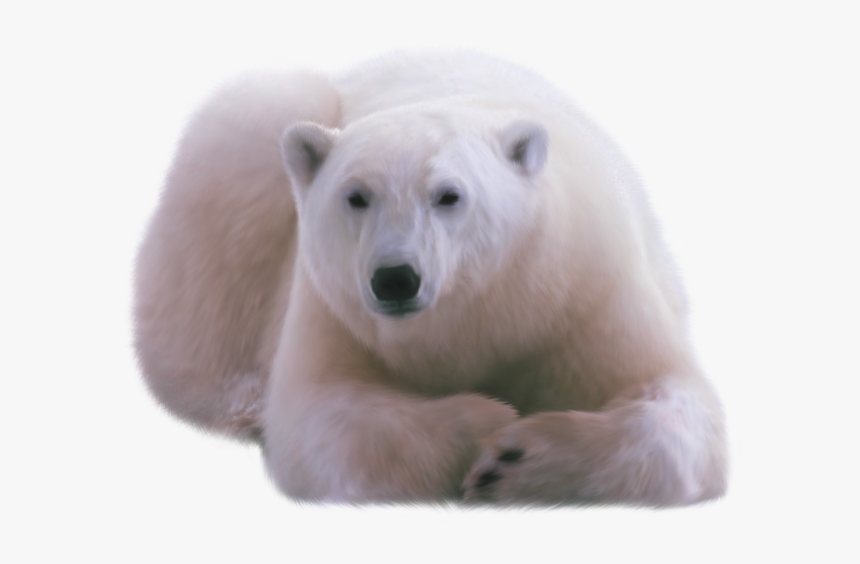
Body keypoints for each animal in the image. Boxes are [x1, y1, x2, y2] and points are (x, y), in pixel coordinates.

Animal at [134, 51, 728, 506]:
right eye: (356, 196)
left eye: (449, 195)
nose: (396, 279)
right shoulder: (335, 309)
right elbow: (326, 419)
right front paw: (487, 424)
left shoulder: (585, 288)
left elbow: (675, 402)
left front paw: (516, 459)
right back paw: (243, 400)